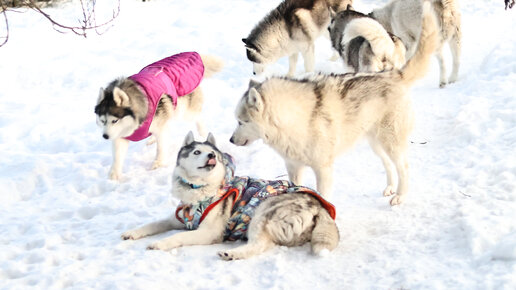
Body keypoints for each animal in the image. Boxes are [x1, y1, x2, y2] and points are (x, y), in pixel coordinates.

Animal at [95, 51, 224, 180]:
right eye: (102, 121)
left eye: (114, 121)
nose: (105, 136)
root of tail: (190, 53)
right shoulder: (121, 136)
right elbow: (117, 155)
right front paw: (114, 175)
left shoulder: (160, 126)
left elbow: (161, 147)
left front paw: (158, 163)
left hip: (183, 110)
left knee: (197, 117)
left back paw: (203, 133)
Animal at [121, 133, 338, 260]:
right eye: (197, 152)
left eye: (212, 152)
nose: (211, 157)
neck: (200, 188)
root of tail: (319, 205)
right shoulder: (179, 219)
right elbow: (153, 224)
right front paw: (132, 233)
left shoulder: (207, 232)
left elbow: (178, 236)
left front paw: (159, 243)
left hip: (262, 212)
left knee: (258, 245)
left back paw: (231, 253)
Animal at [232, 2, 438, 206]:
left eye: (242, 122)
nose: (231, 140)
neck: (294, 118)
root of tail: (393, 75)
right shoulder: (294, 167)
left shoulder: (323, 169)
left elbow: (323, 196)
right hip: (376, 143)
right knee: (388, 165)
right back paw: (389, 188)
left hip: (391, 142)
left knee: (404, 167)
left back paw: (400, 196)